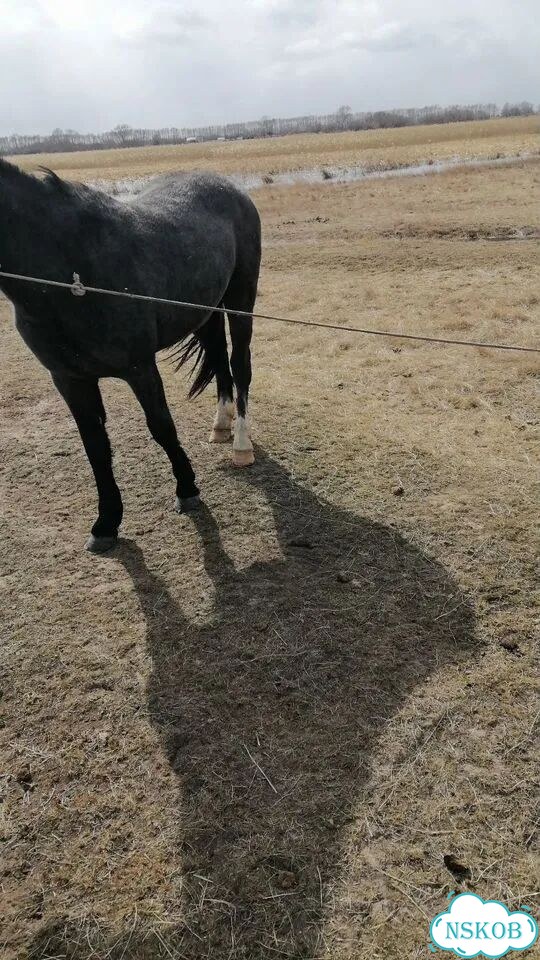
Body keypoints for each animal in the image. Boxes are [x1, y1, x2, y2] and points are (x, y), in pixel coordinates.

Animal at [0, 159, 261, 552]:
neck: (70, 270)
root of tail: (227, 186)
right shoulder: (69, 379)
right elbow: (95, 447)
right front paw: (106, 523)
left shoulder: (139, 367)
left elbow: (162, 427)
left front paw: (187, 490)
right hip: (205, 311)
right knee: (219, 361)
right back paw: (221, 424)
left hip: (240, 302)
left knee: (239, 365)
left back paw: (241, 445)